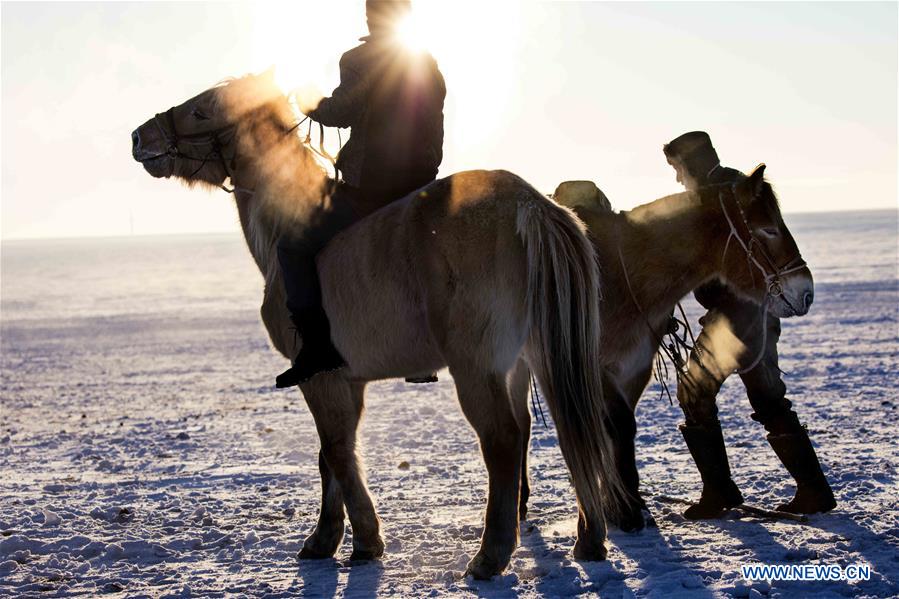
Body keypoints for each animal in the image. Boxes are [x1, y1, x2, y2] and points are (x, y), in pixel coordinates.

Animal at [130, 72, 628, 580]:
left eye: (201, 112)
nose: (139, 138)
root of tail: (529, 203)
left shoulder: (319, 378)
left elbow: (335, 452)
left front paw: (364, 540)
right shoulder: (344, 380)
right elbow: (332, 457)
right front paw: (327, 538)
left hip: (476, 367)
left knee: (504, 440)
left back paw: (491, 554)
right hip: (536, 359)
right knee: (569, 429)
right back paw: (589, 540)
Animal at [548, 172, 816, 528]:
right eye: (769, 229)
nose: (806, 292)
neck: (621, 272)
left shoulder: (636, 367)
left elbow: (619, 430)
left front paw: (624, 502)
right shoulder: (596, 366)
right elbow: (616, 425)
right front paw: (625, 511)